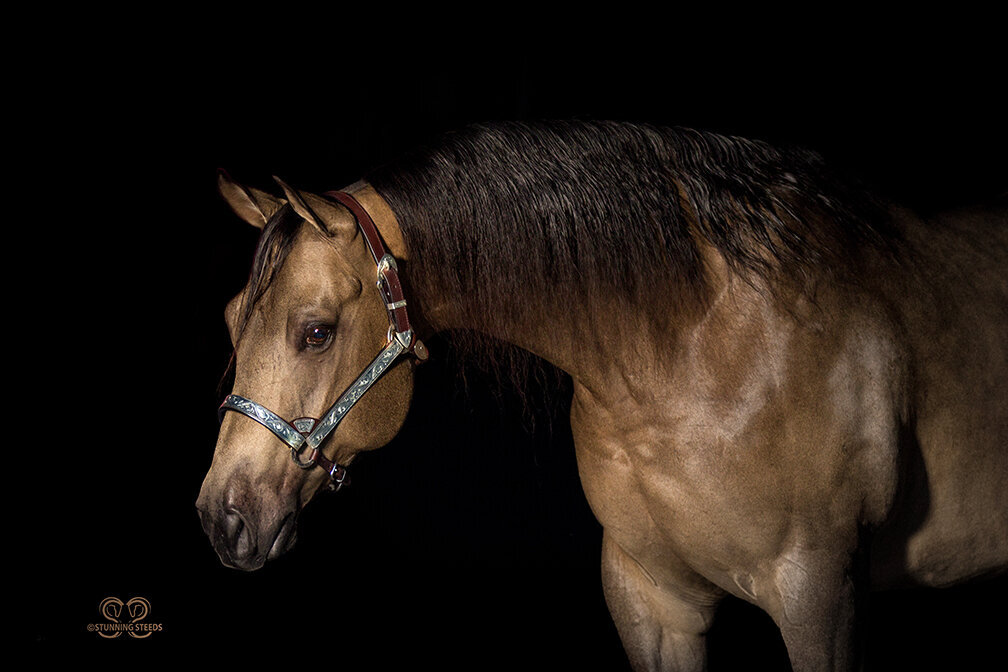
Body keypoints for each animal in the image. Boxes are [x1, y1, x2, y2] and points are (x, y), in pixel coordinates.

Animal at [192, 122, 1003, 672]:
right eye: (231, 320)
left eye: (317, 332)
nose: (220, 518)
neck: (695, 350)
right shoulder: (652, 600)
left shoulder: (822, 596)